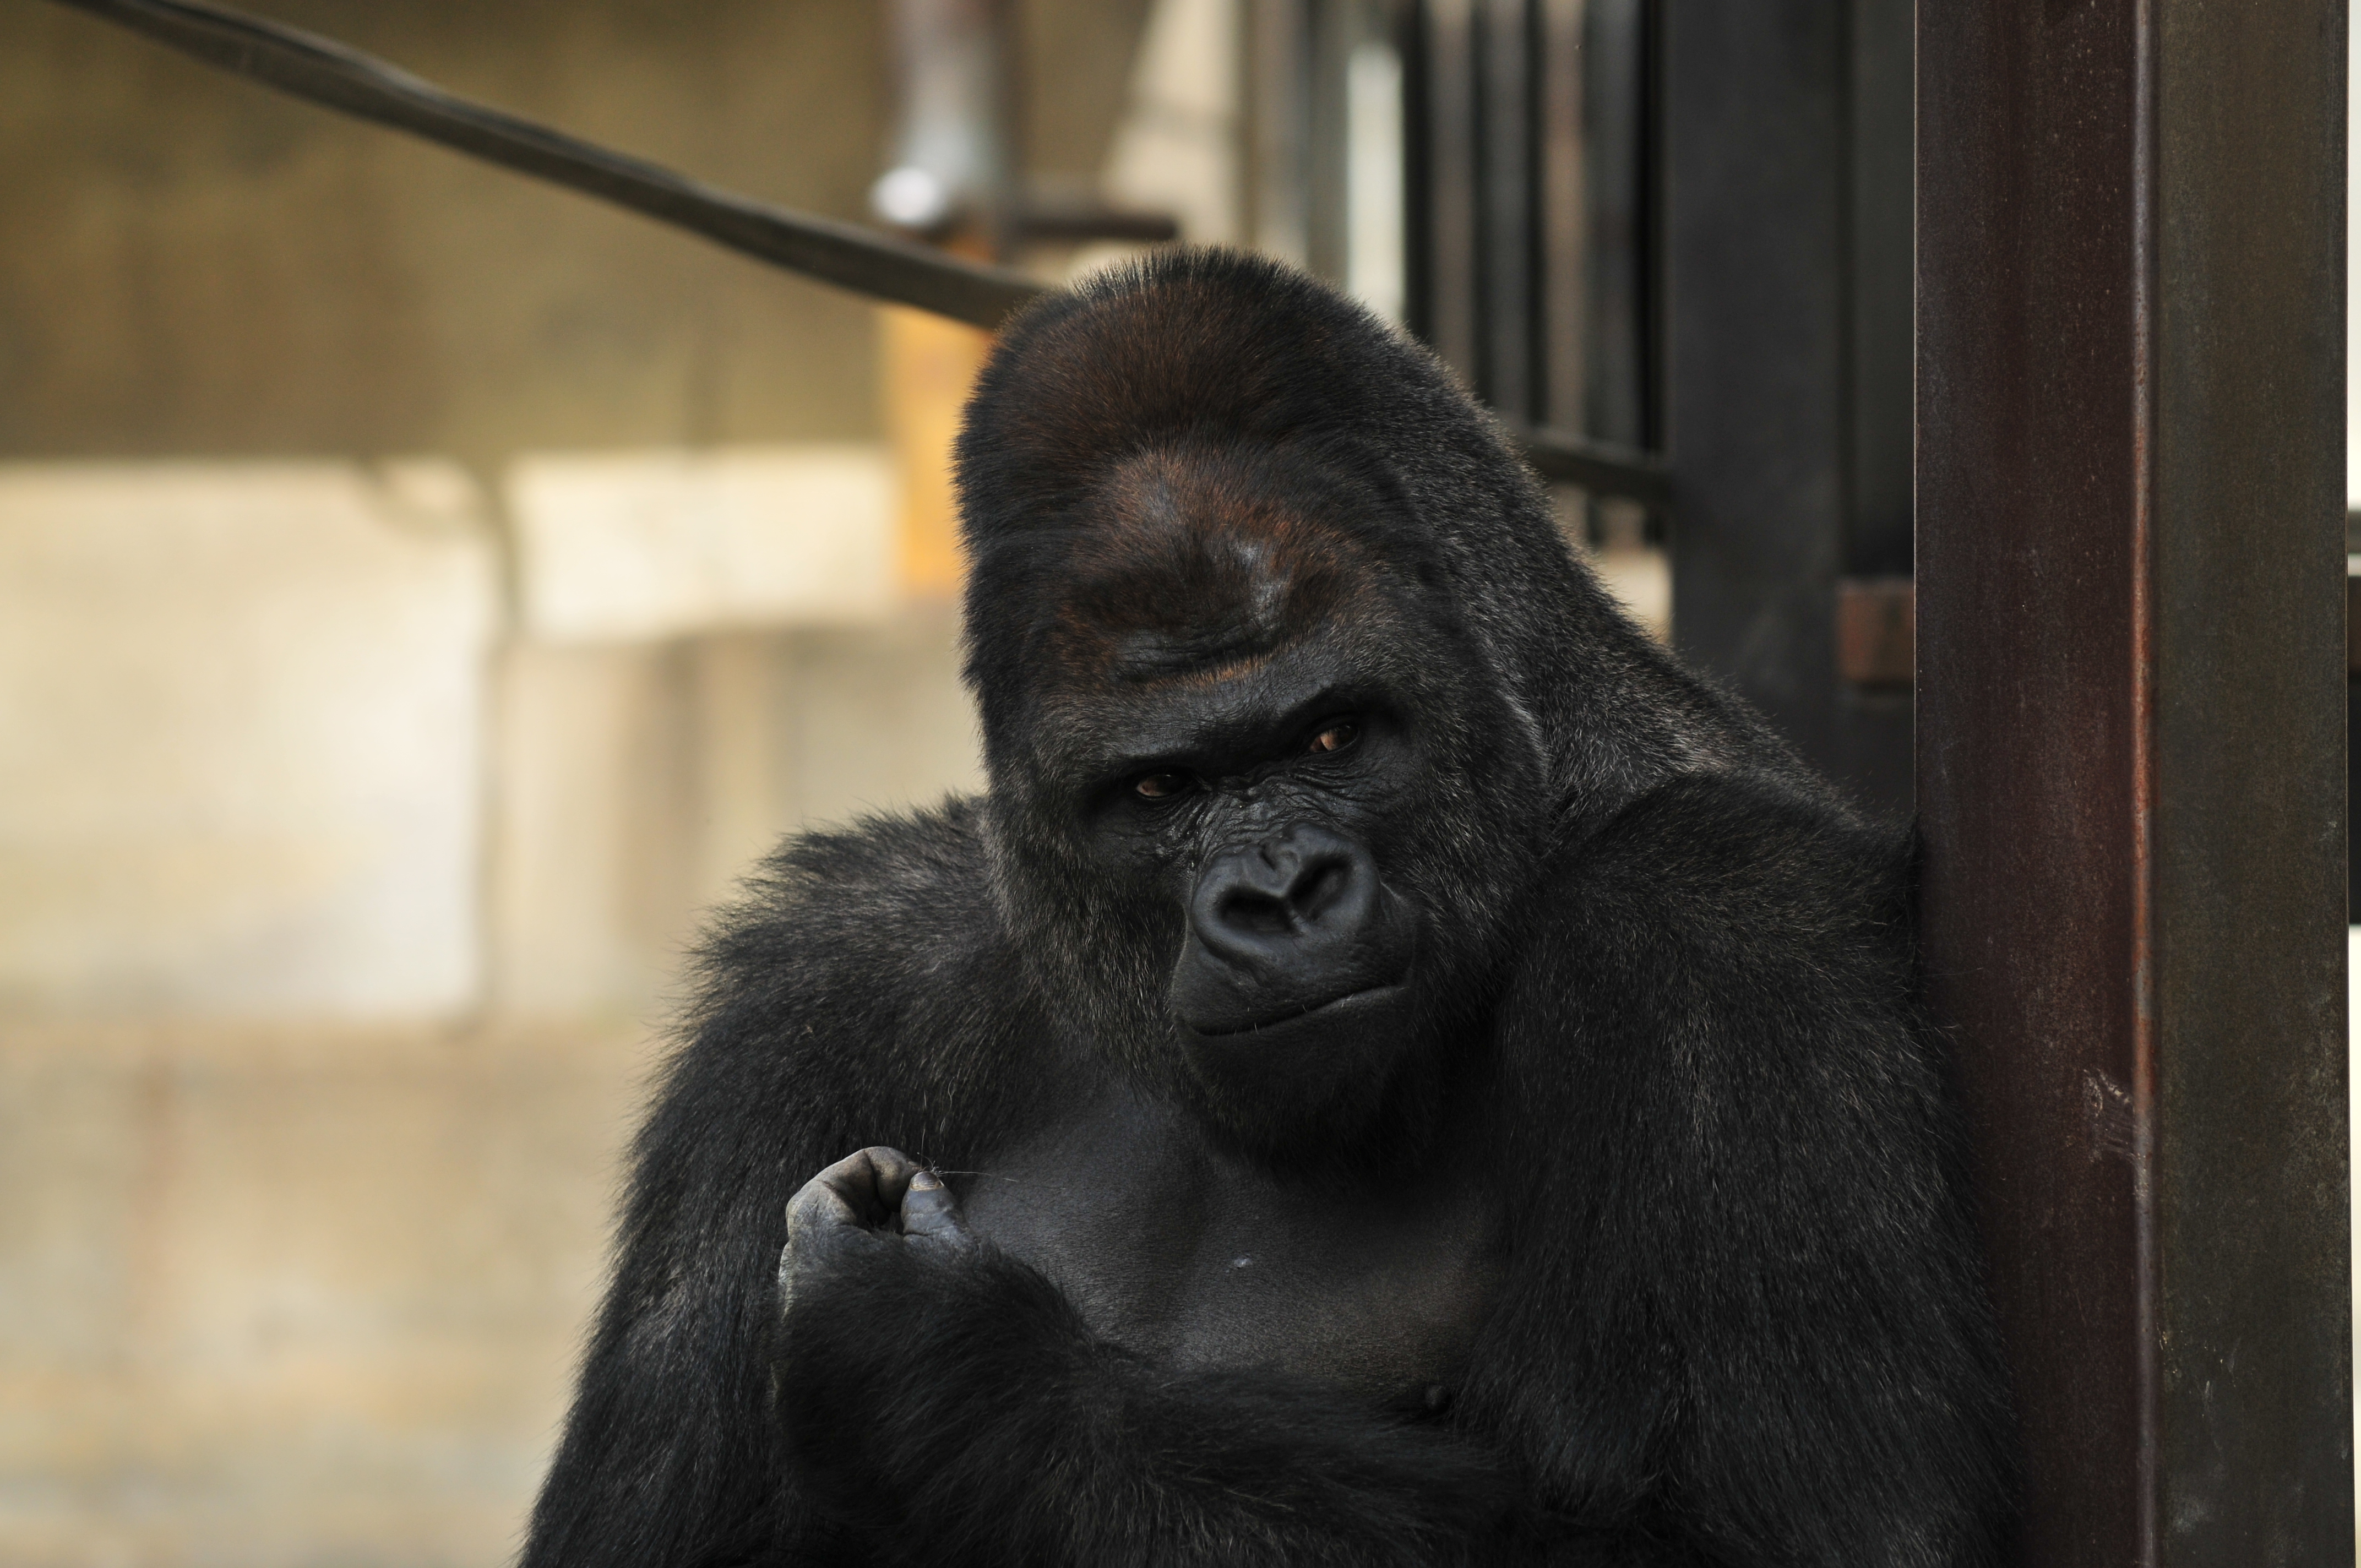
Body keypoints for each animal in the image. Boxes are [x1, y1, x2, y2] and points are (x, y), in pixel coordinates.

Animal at [517, 251, 2011, 1558]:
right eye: (1159, 786)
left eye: (1332, 733)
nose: (1281, 892)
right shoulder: (819, 987)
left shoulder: (1722, 929)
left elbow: (1783, 1538)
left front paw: (965, 1379)